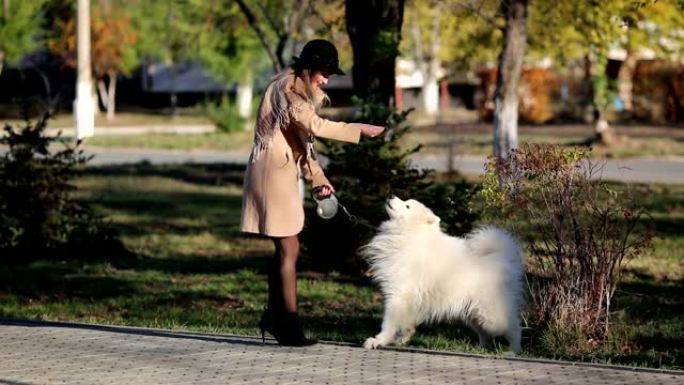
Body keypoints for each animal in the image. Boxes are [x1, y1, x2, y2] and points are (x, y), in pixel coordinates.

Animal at [364, 196, 524, 352]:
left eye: (407, 206)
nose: (391, 196)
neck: (411, 234)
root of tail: (502, 258)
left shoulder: (398, 294)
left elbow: (388, 323)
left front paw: (378, 341)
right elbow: (406, 323)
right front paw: (402, 338)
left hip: (491, 314)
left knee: (513, 327)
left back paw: (513, 351)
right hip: (475, 314)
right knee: (485, 333)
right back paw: (483, 348)